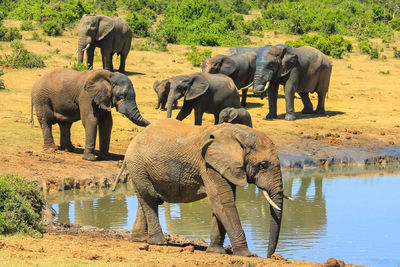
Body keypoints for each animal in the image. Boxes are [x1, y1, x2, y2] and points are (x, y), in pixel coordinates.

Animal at [111, 119, 290, 258]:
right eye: (263, 165)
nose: (269, 256)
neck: (239, 133)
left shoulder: (223, 166)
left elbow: (221, 203)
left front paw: (216, 252)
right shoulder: (208, 165)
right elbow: (223, 202)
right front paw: (246, 255)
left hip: (140, 169)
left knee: (145, 199)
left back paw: (140, 240)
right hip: (138, 166)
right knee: (150, 199)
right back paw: (159, 242)